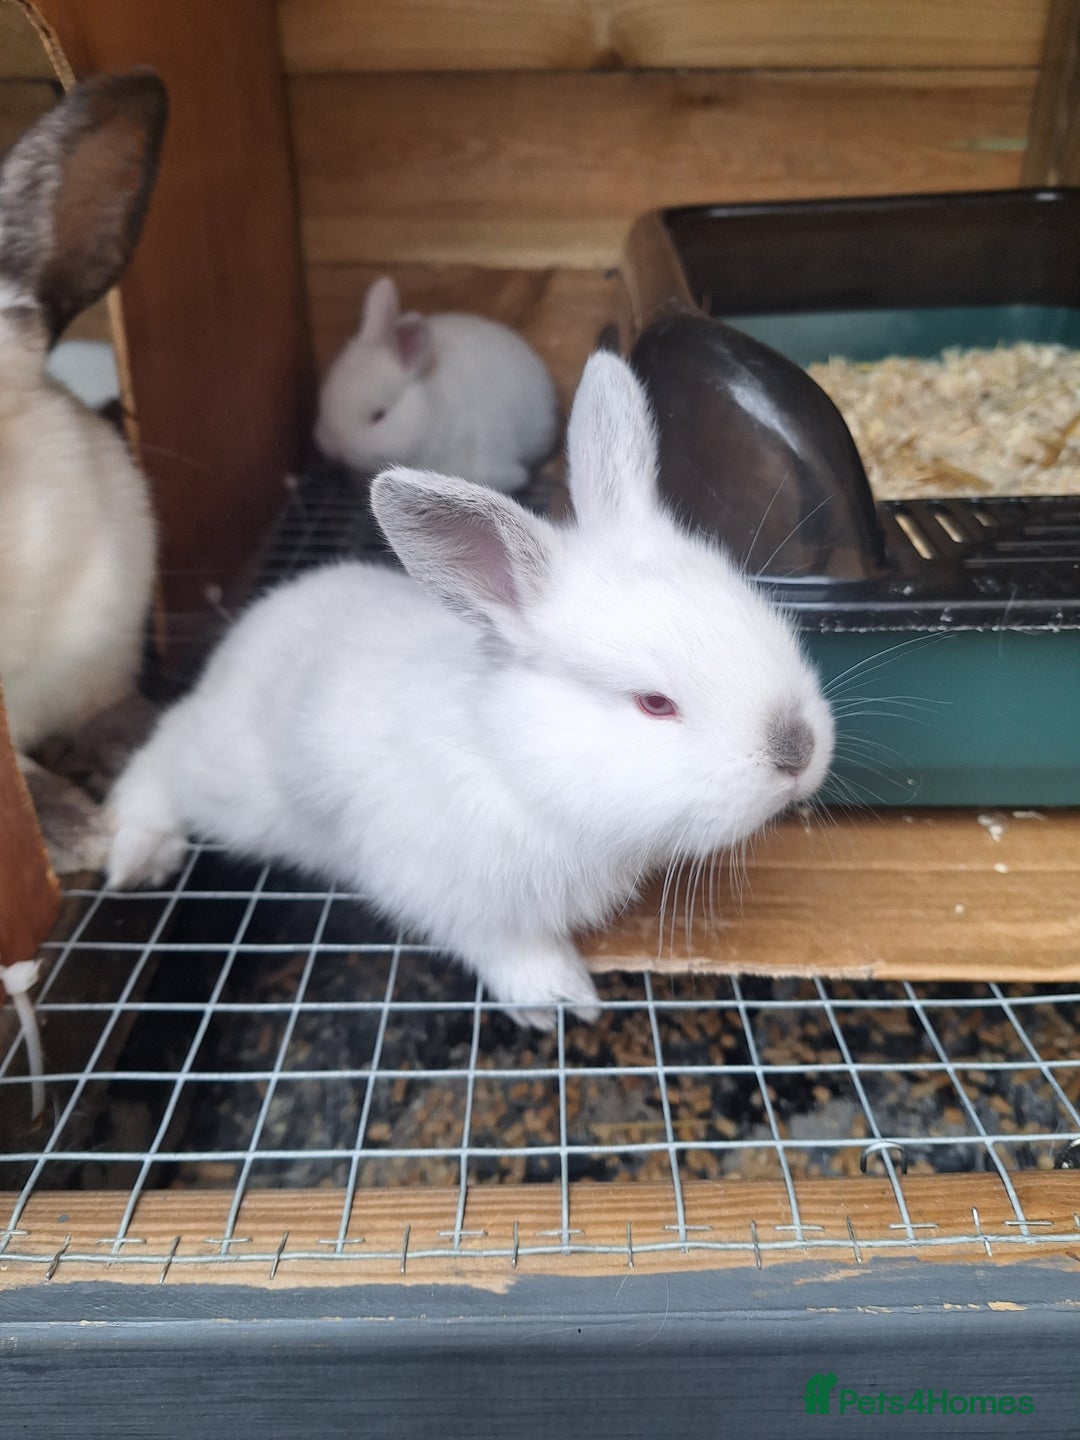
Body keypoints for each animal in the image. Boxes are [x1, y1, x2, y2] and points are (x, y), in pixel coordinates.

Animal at [106, 351, 835, 1027]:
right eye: (654, 703)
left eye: (758, 611)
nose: (797, 752)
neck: (515, 762)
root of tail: (243, 638)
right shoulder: (446, 888)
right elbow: (502, 944)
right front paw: (560, 1000)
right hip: (229, 783)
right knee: (158, 753)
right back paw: (136, 856)